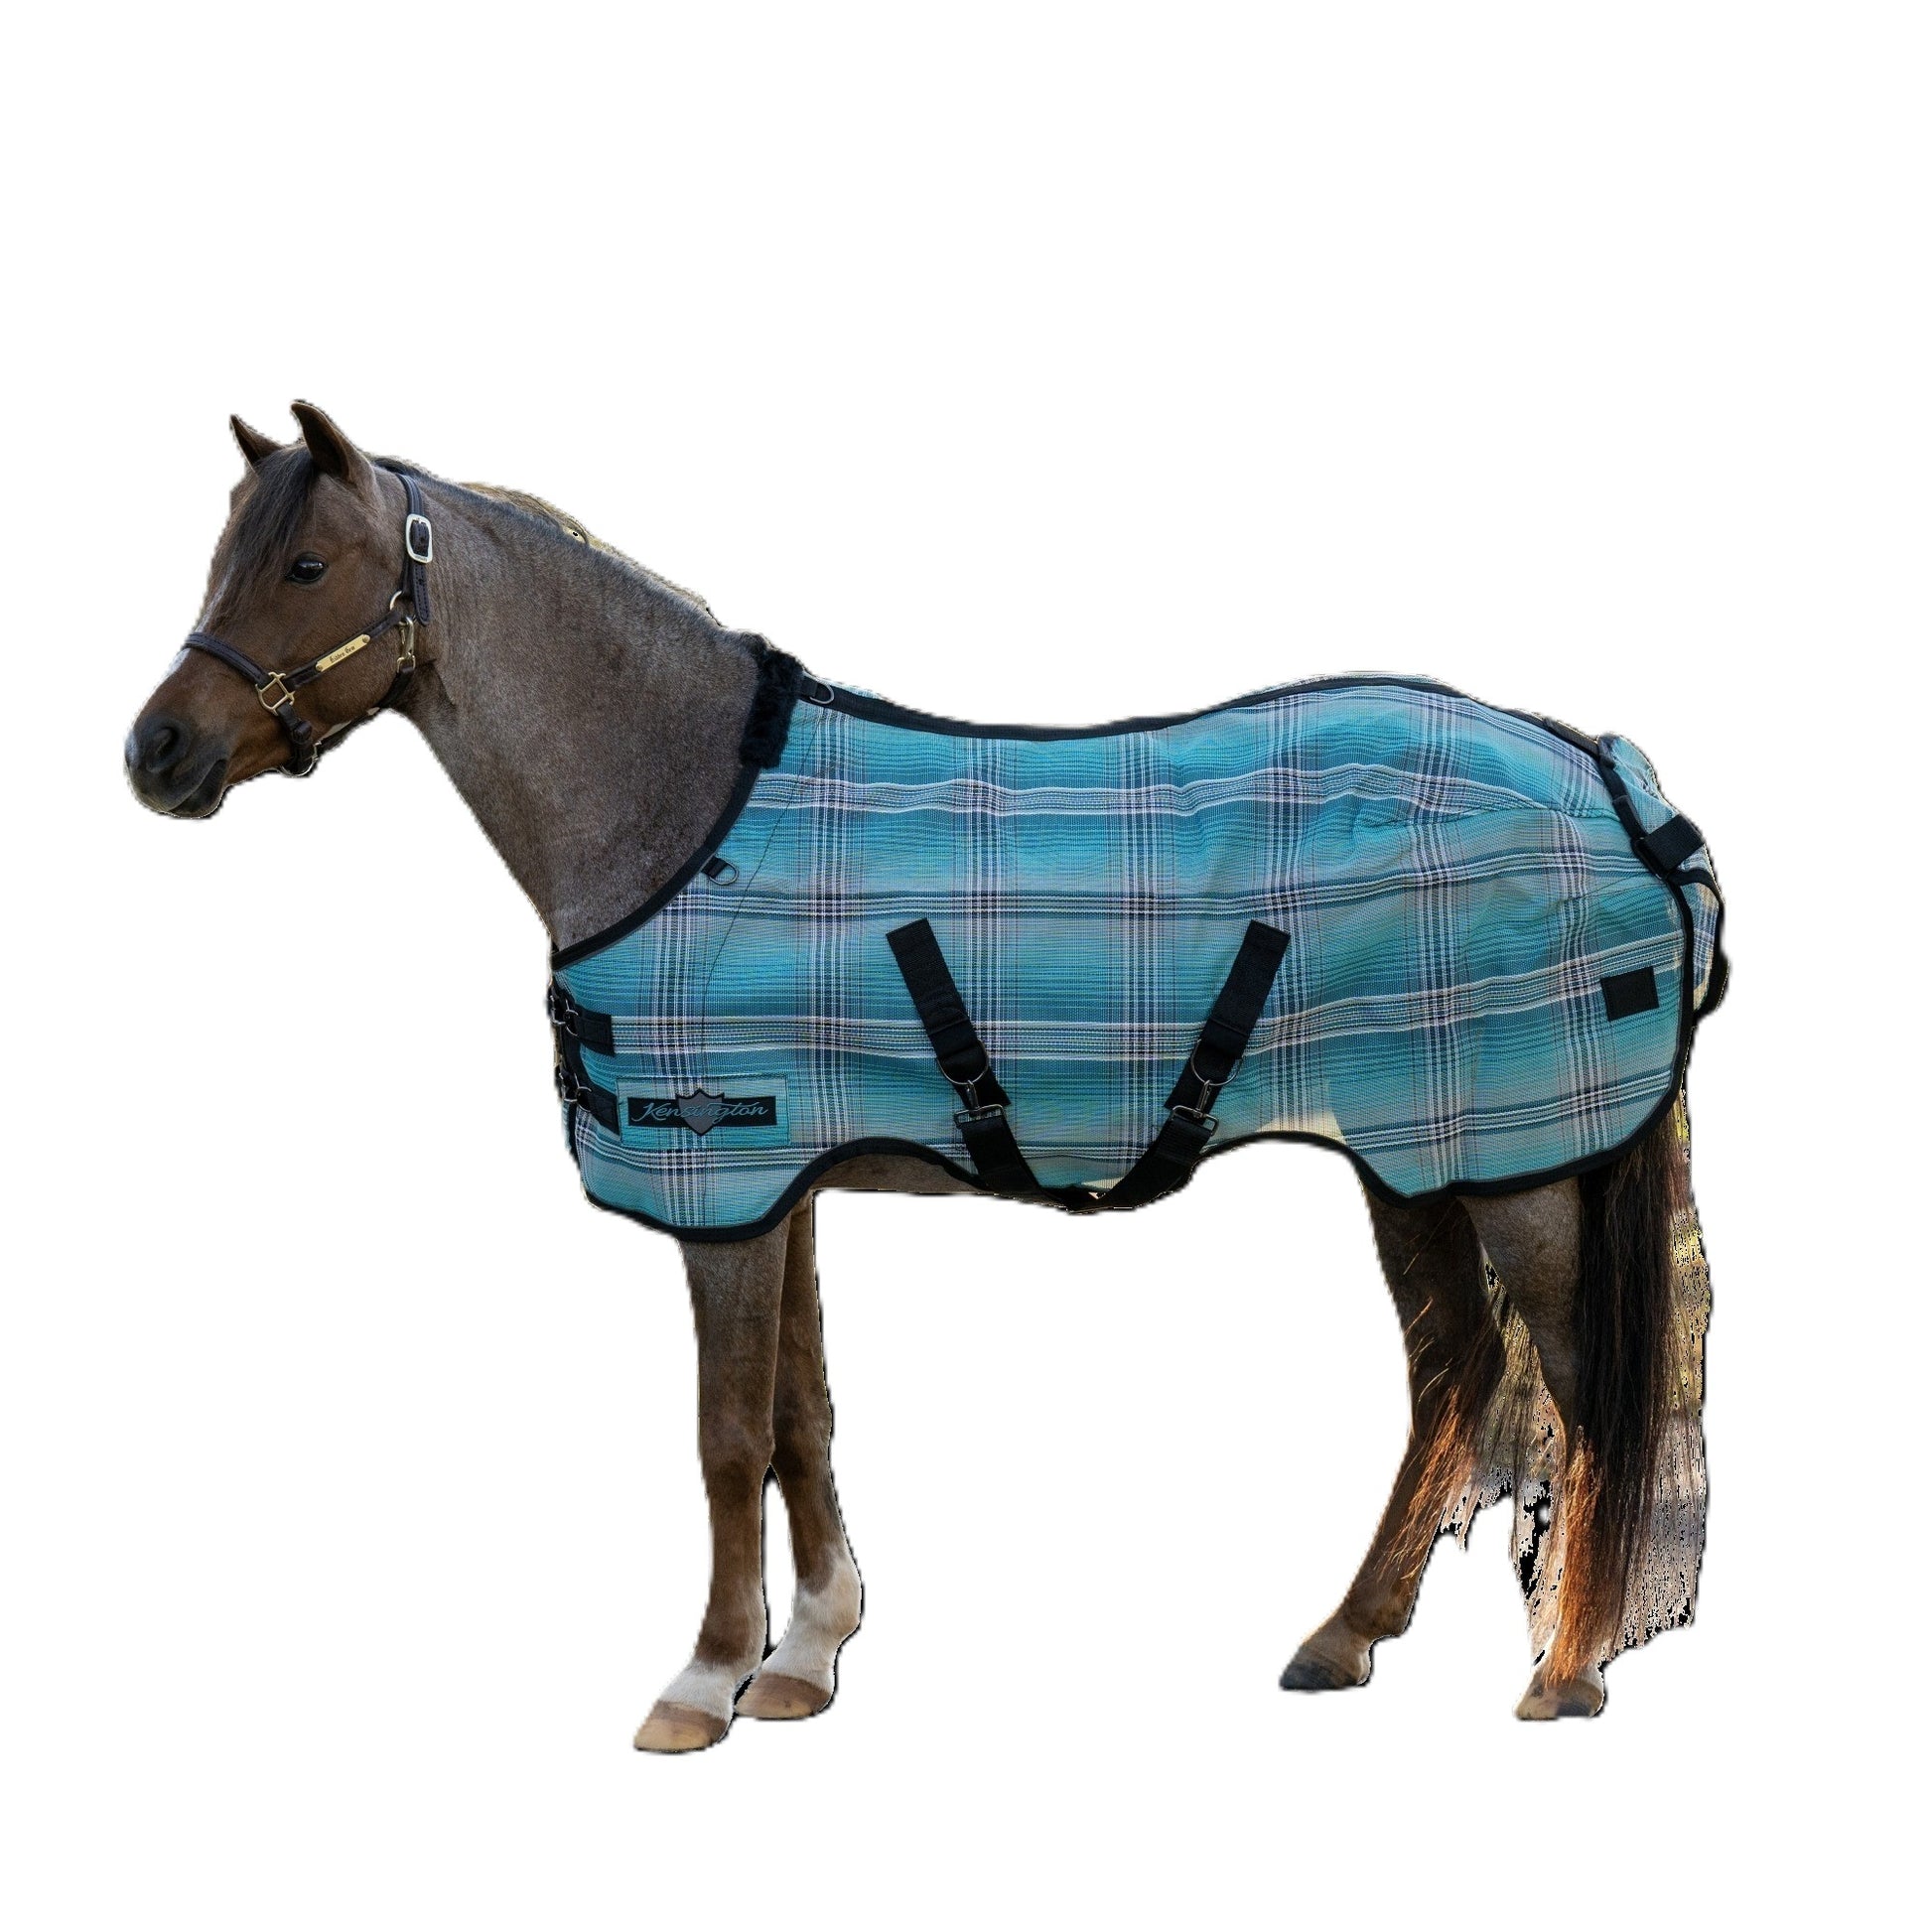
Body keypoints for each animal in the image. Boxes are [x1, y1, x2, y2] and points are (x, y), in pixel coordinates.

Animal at [125, 404, 1716, 1749]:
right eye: (223, 554)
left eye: (307, 563)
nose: (157, 750)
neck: (677, 809)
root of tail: (1616, 781)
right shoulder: (781, 1183)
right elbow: (800, 1417)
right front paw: (809, 1652)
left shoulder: (723, 1183)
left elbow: (724, 1436)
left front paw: (704, 1679)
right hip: (1415, 1156)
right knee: (1454, 1373)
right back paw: (1346, 1634)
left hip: (1516, 1170)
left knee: (1584, 1390)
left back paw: (1566, 1668)